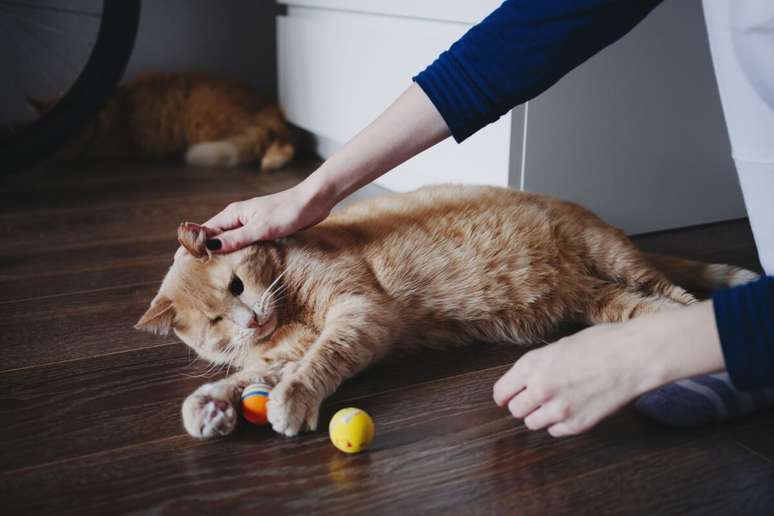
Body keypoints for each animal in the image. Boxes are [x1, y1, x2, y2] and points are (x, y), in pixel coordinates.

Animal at [28, 72, 296, 170]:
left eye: (73, 125)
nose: (64, 140)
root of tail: (267, 103)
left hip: (204, 125)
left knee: (282, 142)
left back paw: (271, 161)